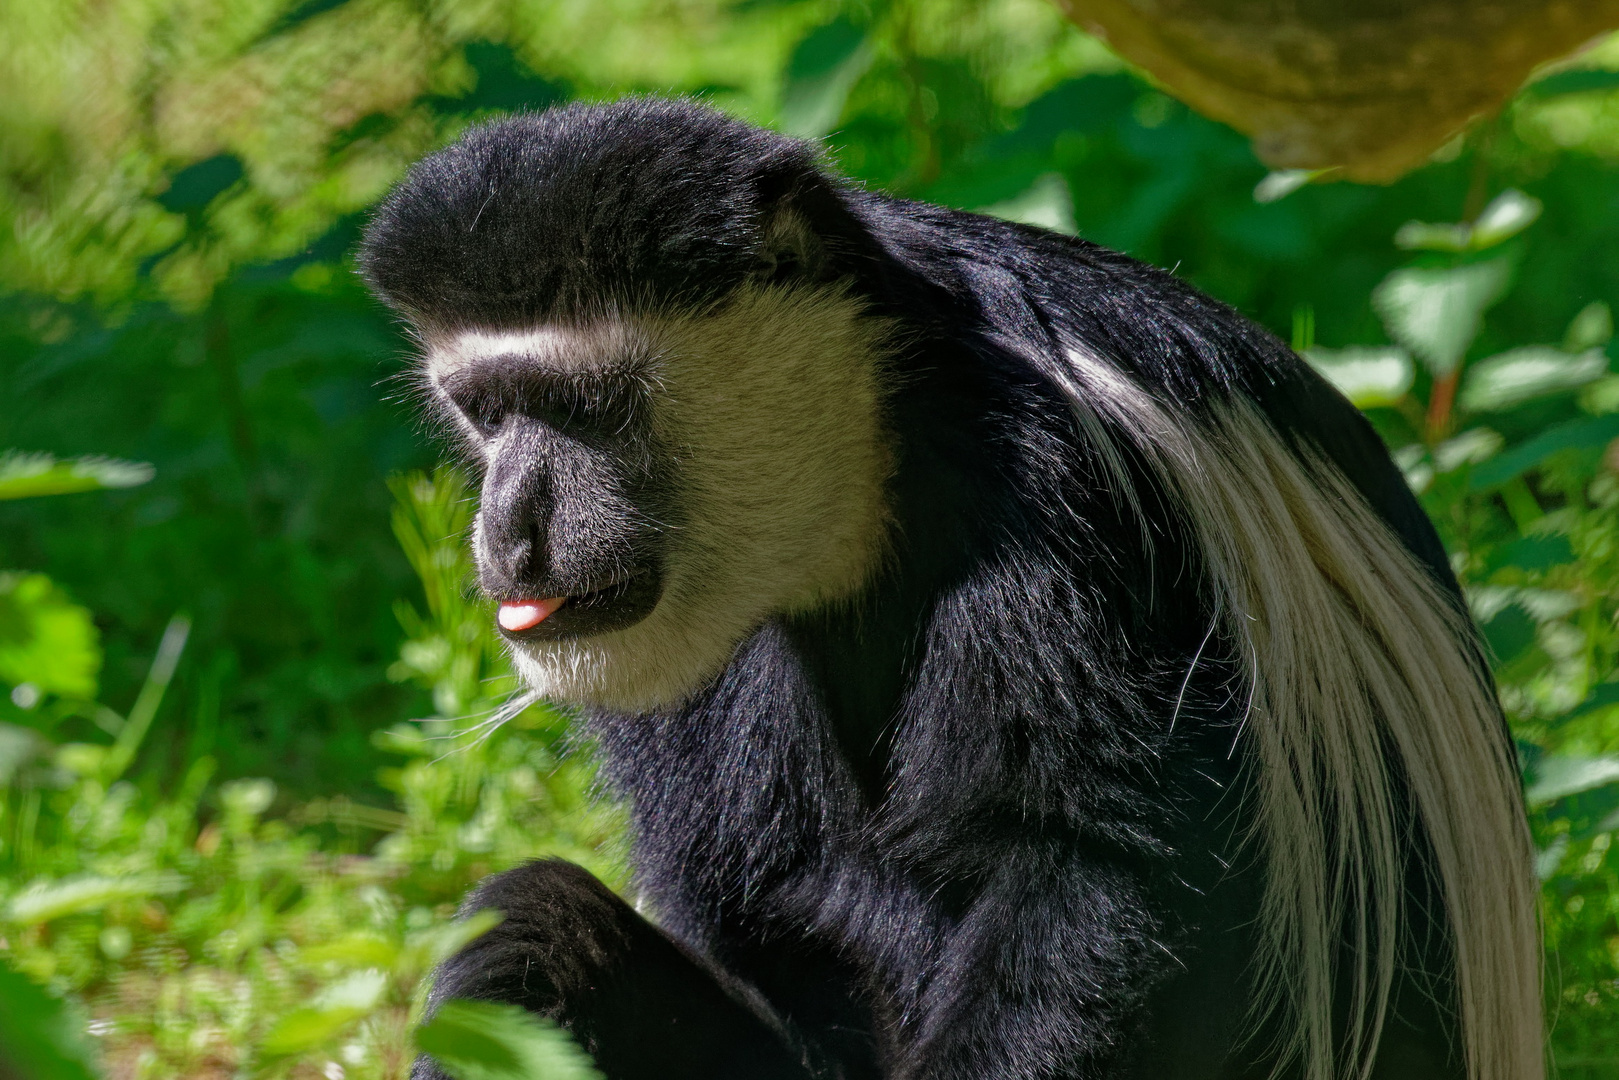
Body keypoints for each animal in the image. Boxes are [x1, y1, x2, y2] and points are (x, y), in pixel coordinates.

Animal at [361, 101, 1547, 1080]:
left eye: (588, 407)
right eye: (484, 412)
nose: (509, 533)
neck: (882, 440)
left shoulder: (1060, 497)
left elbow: (1093, 874)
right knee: (524, 935)